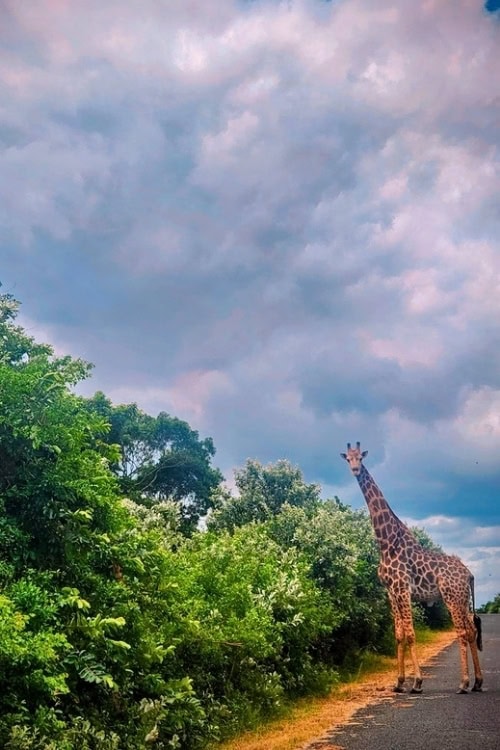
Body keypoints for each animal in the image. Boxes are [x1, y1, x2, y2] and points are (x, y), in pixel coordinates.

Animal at [341, 442, 483, 695]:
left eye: (361, 458)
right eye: (348, 459)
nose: (355, 470)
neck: (387, 542)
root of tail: (469, 574)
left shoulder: (403, 589)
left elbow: (411, 634)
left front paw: (417, 682)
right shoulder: (391, 591)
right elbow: (399, 635)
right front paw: (398, 682)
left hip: (451, 597)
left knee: (462, 632)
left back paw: (464, 683)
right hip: (463, 599)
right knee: (471, 631)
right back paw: (477, 682)